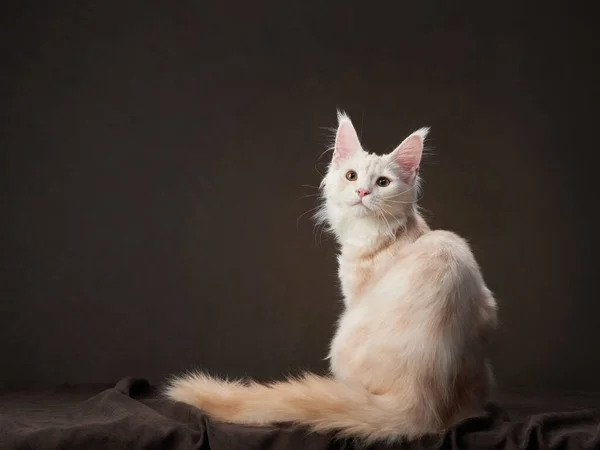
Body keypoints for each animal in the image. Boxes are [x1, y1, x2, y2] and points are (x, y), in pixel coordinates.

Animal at [164, 110, 496, 442]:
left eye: (383, 182)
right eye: (351, 176)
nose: (362, 192)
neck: (375, 233)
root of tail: (421, 397)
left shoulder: (354, 295)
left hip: (343, 334)